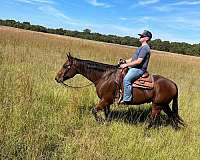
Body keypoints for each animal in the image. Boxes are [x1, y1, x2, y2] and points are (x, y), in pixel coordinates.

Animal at [55, 53, 184, 129]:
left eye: (66, 66)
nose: (57, 78)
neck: (104, 77)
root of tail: (173, 84)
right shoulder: (106, 102)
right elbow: (107, 114)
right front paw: (105, 123)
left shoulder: (105, 100)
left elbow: (94, 111)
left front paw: (100, 122)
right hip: (164, 105)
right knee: (172, 116)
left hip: (157, 105)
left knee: (152, 119)